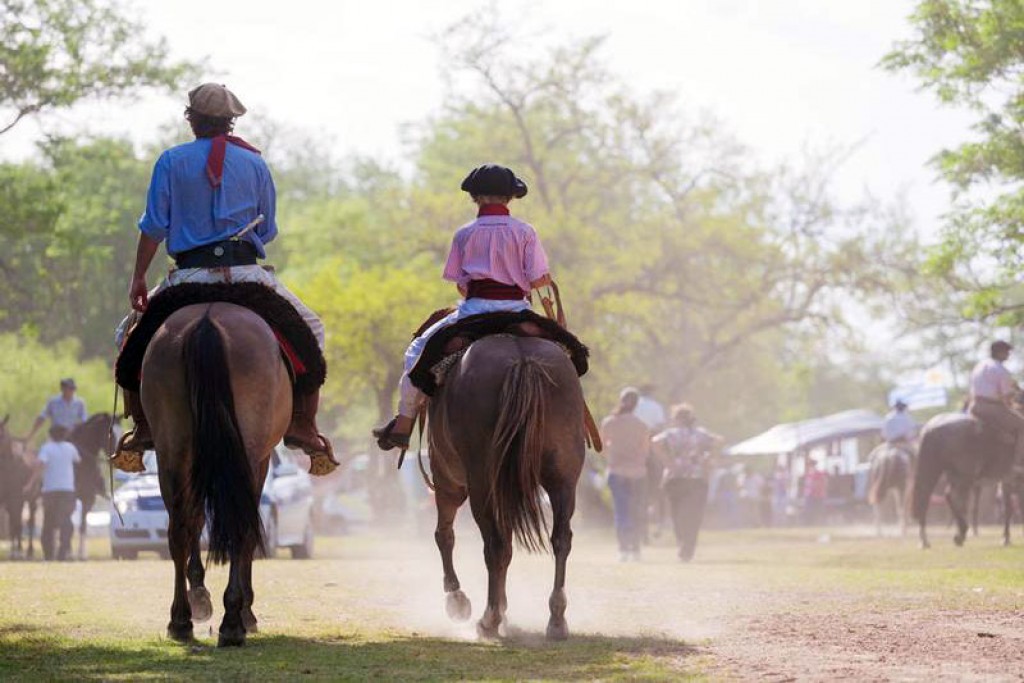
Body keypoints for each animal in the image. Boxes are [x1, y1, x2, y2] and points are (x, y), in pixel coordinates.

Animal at [142, 303, 292, 647]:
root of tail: (207, 321)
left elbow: (195, 522)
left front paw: (200, 596)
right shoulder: (260, 461)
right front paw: (244, 611)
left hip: (172, 448)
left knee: (179, 529)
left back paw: (181, 620)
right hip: (243, 451)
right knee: (237, 526)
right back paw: (234, 623)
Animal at [425, 335, 585, 643]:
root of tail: (523, 360)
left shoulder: (447, 479)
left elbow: (444, 535)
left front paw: (457, 600)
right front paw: (504, 607)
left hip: (481, 482)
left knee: (494, 545)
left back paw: (488, 619)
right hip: (563, 477)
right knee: (560, 538)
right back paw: (556, 619)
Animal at [913, 411, 1015, 548]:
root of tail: (932, 428)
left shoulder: (1006, 479)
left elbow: (1007, 506)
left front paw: (1006, 537)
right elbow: (1008, 507)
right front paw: (1006, 538)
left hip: (945, 473)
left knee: (932, 498)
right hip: (964, 476)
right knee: (951, 497)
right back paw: (961, 532)